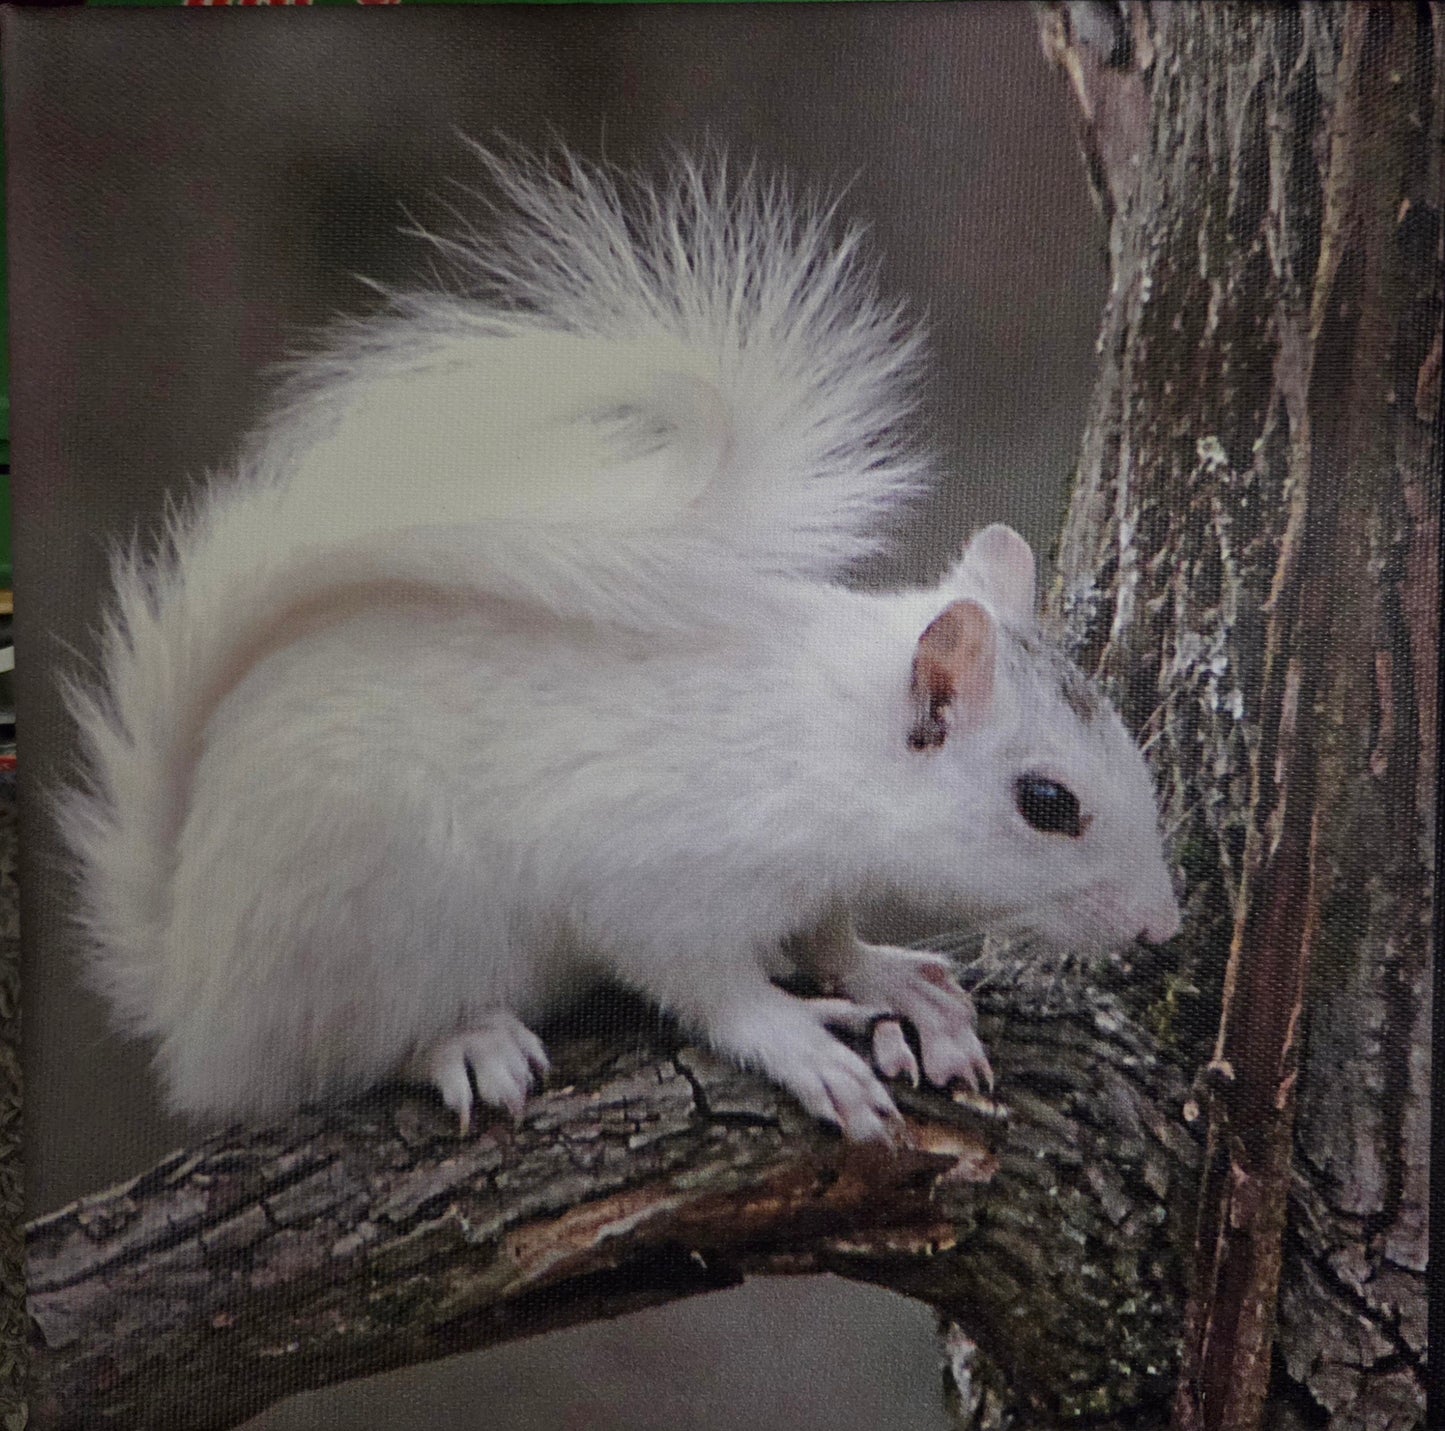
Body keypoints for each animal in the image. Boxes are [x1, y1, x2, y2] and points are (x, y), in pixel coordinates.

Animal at [57, 150, 1181, 1142]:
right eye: (1047, 804)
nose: (1159, 934)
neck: (822, 746)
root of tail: (191, 998)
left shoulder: (809, 882)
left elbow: (822, 934)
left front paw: (887, 974)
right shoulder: (656, 868)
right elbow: (702, 981)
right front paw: (797, 1042)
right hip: (375, 928)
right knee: (336, 1060)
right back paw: (463, 1043)